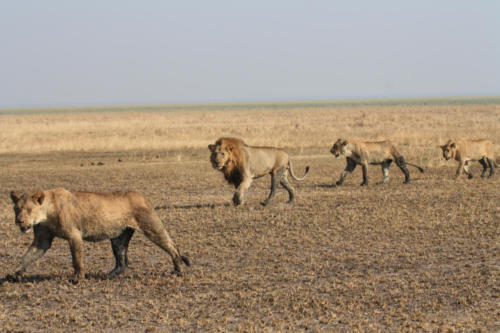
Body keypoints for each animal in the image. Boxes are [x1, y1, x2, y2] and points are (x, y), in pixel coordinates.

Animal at [8, 188, 190, 282]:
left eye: (29, 209)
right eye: (16, 209)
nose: (19, 221)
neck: (46, 214)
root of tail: (142, 196)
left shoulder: (74, 235)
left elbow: (76, 260)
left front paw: (78, 279)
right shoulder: (42, 240)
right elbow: (27, 257)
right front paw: (14, 274)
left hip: (151, 226)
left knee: (172, 246)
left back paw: (178, 269)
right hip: (118, 238)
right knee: (122, 262)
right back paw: (107, 276)